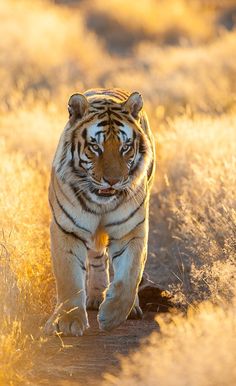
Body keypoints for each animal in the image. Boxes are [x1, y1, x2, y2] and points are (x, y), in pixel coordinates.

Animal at [45, 87, 156, 334]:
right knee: (97, 257)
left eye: (125, 147)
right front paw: (68, 321)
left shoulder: (130, 231)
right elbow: (69, 278)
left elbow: (129, 276)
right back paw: (95, 297)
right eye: (95, 147)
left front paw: (113, 316)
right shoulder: (67, 229)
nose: (113, 181)